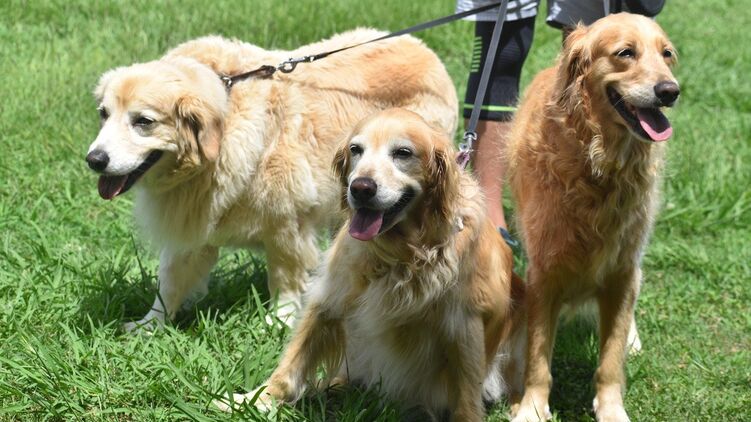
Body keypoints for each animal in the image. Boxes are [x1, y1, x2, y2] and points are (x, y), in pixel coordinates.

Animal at [85, 30, 457, 330]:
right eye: (104, 114)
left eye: (143, 122)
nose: (94, 160)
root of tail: (421, 47)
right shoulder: (193, 222)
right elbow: (170, 279)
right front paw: (150, 326)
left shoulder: (287, 224)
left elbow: (284, 277)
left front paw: (279, 320)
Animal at [217, 109, 526, 421]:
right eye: (356, 150)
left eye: (403, 153)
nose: (361, 188)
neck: (402, 253)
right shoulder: (330, 296)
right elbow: (293, 361)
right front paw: (254, 400)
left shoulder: (464, 323)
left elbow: (466, 394)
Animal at [507, 13, 679, 422]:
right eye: (625, 53)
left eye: (666, 54)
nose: (670, 91)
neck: (600, 165)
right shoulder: (544, 273)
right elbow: (538, 358)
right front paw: (532, 407)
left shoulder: (621, 272)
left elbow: (610, 361)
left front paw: (612, 409)